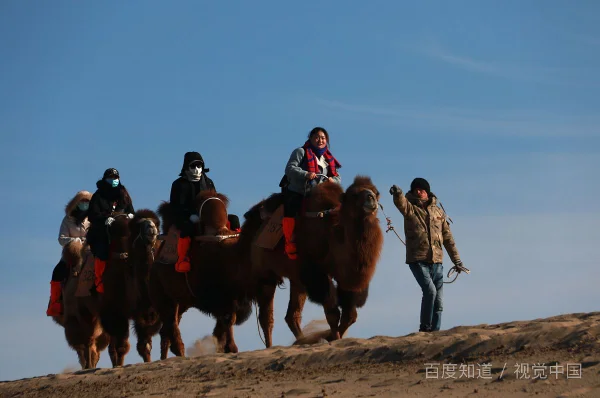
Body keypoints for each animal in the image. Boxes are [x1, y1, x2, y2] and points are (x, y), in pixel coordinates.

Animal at [99, 211, 163, 366]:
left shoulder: (147, 313)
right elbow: (121, 347)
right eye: (139, 225)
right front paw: (118, 366)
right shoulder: (116, 312)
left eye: (156, 223)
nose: (151, 228)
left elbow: (145, 345)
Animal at [152, 190, 253, 358]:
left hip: (182, 301)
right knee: (170, 326)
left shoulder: (229, 297)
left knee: (166, 329)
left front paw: (227, 348)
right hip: (164, 296)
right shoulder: (220, 296)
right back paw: (179, 353)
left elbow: (227, 320)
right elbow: (227, 319)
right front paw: (229, 348)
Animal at [240, 174, 384, 346]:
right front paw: (333, 337)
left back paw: (301, 341)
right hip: (265, 275)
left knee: (292, 315)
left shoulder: (346, 277)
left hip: (296, 279)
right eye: (354, 195)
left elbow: (350, 315)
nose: (370, 198)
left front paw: (331, 336)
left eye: (376, 192)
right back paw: (270, 346)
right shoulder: (316, 272)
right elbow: (332, 312)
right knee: (266, 317)